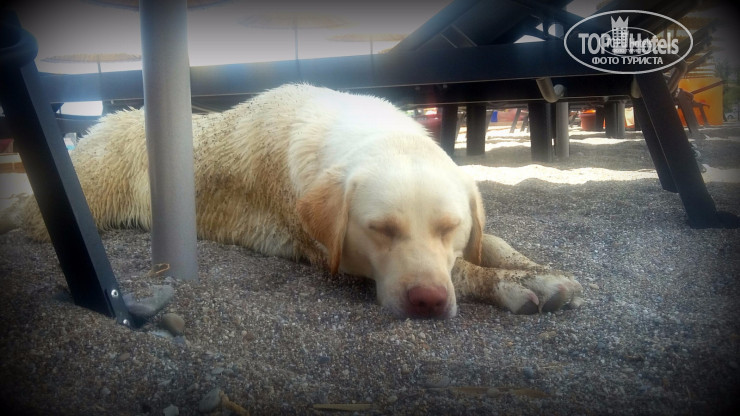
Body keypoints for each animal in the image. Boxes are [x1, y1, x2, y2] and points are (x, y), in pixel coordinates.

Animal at [12, 84, 583, 318]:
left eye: (449, 228)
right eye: (380, 230)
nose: (427, 303)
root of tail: (108, 120)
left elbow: (493, 246)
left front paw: (534, 267)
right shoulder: (334, 253)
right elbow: (461, 270)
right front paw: (512, 284)